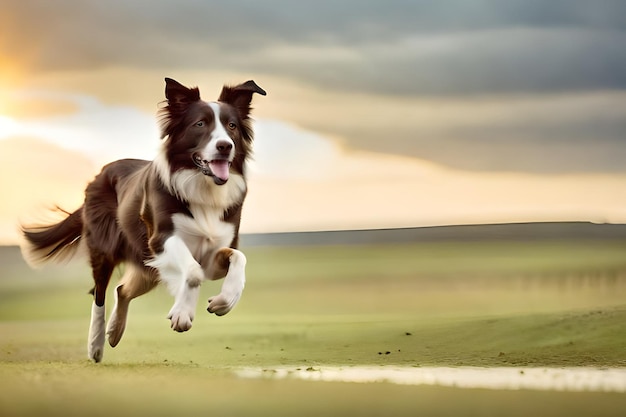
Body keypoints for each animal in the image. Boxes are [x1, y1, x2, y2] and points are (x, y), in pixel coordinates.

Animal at [21, 77, 266, 360]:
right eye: (200, 124)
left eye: (232, 126)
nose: (225, 146)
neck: (202, 187)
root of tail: (100, 174)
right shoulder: (161, 239)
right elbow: (192, 273)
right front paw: (182, 313)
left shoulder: (212, 253)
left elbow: (238, 258)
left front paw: (224, 301)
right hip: (107, 249)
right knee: (99, 293)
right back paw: (96, 344)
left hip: (147, 265)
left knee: (122, 290)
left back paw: (115, 330)